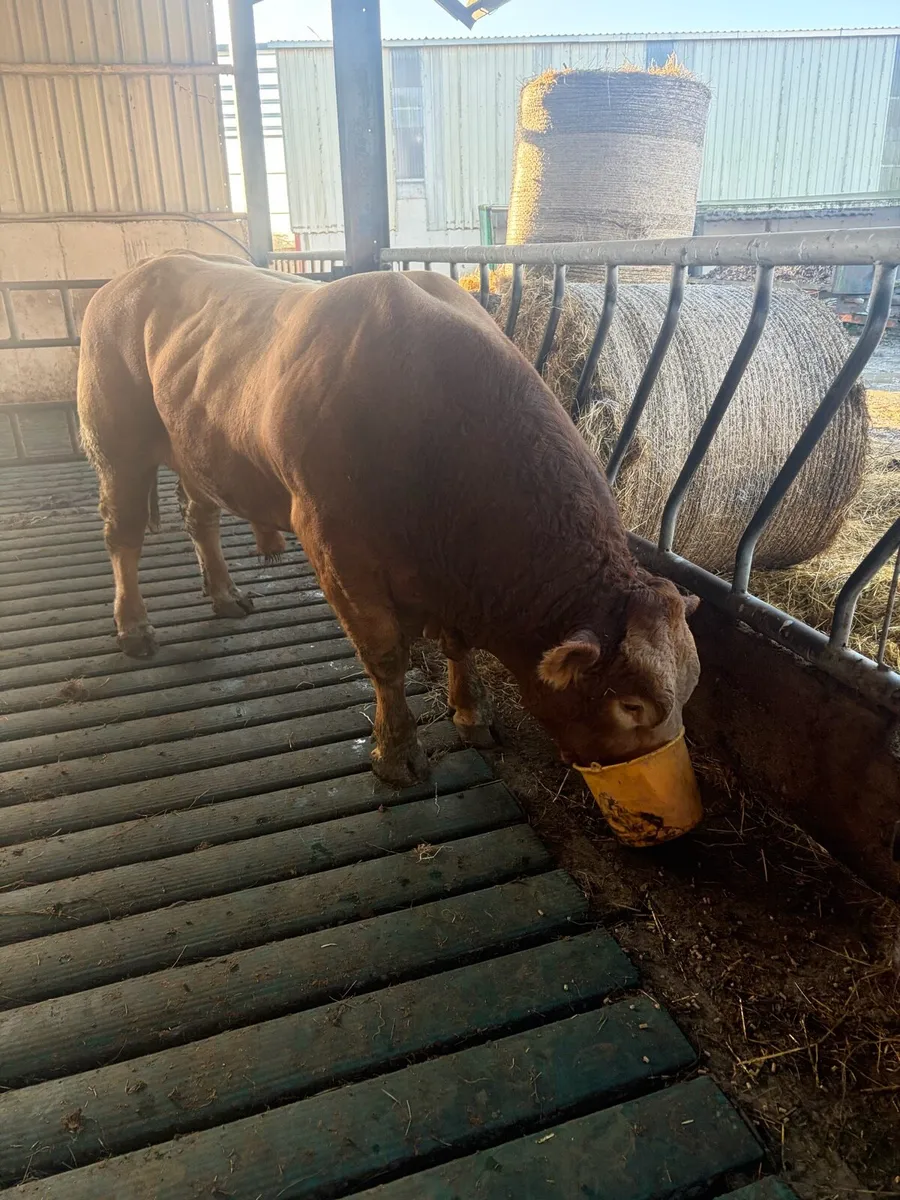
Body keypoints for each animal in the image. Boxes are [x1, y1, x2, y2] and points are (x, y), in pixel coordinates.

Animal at [77, 250, 700, 787]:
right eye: (632, 704)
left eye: (691, 686)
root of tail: (137, 272)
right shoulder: (336, 549)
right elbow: (383, 657)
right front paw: (396, 751)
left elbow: (459, 646)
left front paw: (473, 714)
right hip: (115, 442)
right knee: (122, 534)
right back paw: (134, 626)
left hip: (193, 446)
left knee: (197, 515)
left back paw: (225, 594)